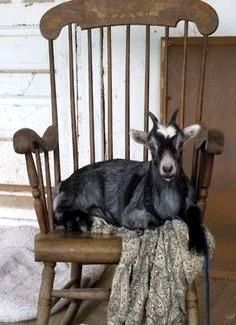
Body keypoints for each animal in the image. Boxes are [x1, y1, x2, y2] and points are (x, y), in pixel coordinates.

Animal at [53, 110, 206, 253]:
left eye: (180, 143)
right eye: (151, 145)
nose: (167, 168)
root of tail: (64, 183)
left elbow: (195, 213)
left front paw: (198, 242)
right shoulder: (130, 213)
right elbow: (155, 221)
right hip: (88, 189)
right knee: (59, 212)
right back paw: (80, 221)